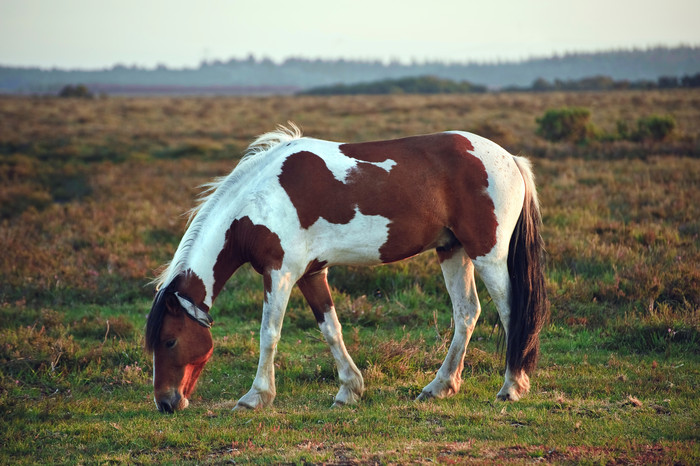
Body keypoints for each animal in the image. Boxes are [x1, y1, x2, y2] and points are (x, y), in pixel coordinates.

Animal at [146, 125, 548, 414]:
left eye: (169, 340)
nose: (166, 403)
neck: (258, 201)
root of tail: (511, 159)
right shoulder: (311, 274)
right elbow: (331, 329)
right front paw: (349, 389)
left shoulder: (280, 273)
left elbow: (268, 334)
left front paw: (255, 396)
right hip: (452, 251)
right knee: (466, 313)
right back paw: (440, 387)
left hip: (488, 255)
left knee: (512, 314)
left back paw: (511, 387)